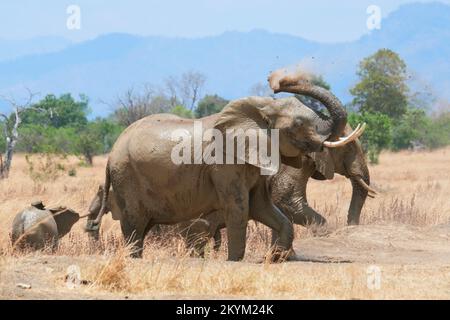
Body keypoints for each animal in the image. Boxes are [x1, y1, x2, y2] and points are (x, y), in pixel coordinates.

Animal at [86, 69, 364, 262]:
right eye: (298, 124)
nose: (277, 82)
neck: (260, 109)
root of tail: (111, 154)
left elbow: (264, 207)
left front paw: (275, 258)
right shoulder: (225, 165)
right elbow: (240, 209)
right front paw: (235, 260)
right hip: (126, 176)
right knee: (134, 226)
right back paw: (134, 259)